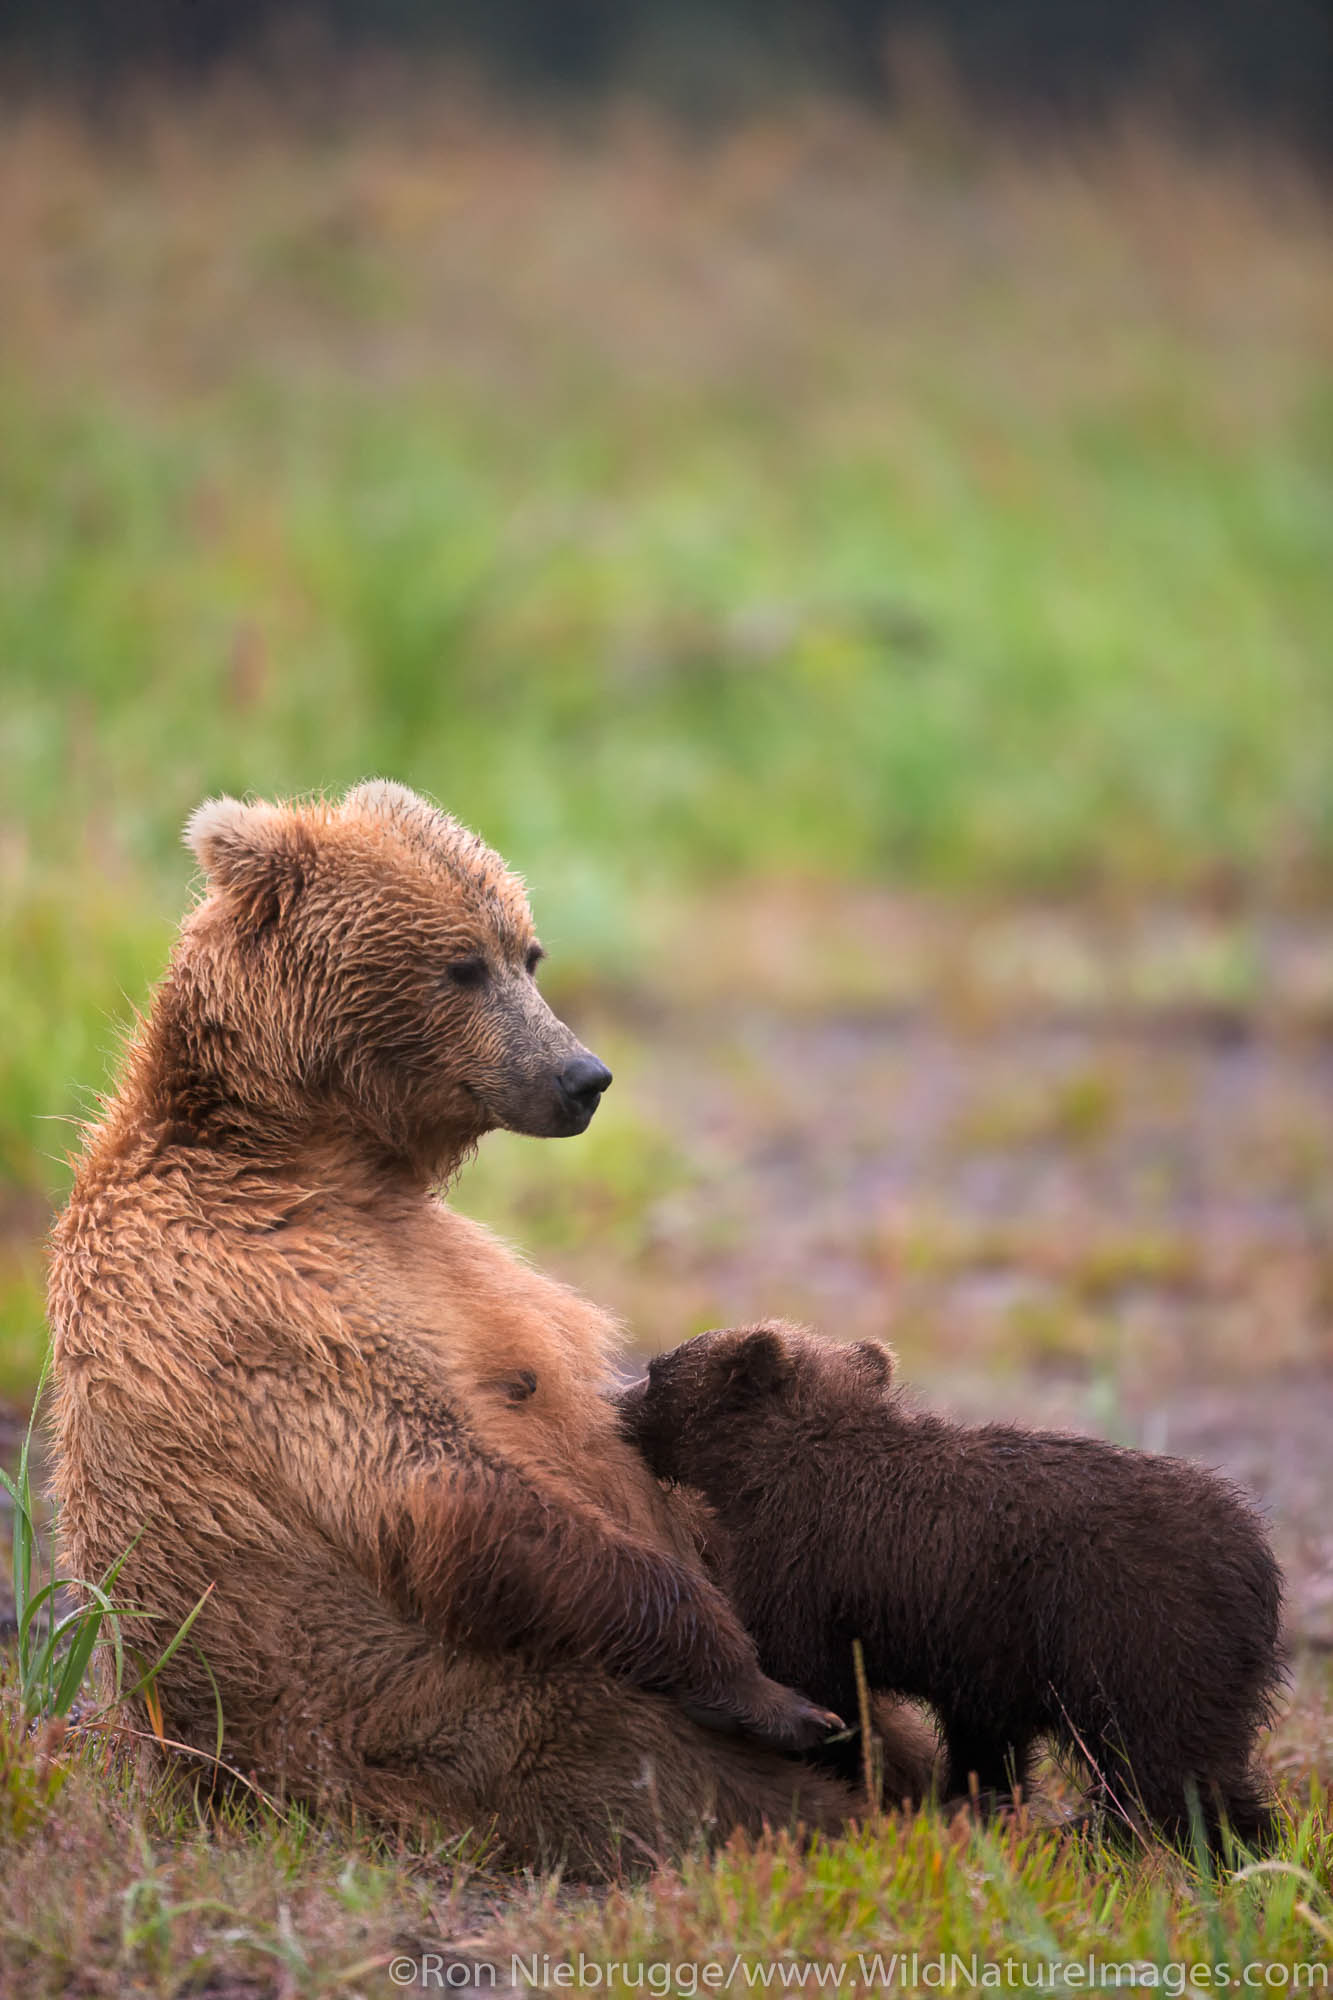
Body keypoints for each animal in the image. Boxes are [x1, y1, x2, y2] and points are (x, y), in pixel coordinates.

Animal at [46, 780, 928, 1872]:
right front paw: (762, 1686)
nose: (583, 1074)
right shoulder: (252, 1299)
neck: (309, 1155)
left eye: (528, 952)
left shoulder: (454, 1263)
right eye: (461, 963)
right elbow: (436, 1479)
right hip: (468, 1718)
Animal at [616, 1320, 1280, 1848]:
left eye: (654, 1370)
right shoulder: (981, 1650)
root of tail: (1257, 1556)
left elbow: (811, 1676)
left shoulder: (808, 1572)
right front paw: (970, 1803)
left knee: (1167, 1759)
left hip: (1140, 1624)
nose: (613, 1399)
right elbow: (984, 1744)